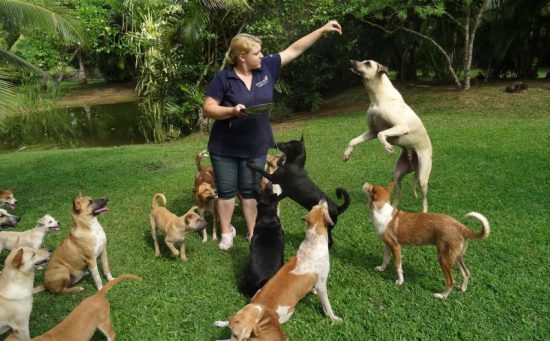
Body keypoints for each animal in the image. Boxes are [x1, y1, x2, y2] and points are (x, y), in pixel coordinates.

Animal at [344, 59, 436, 211]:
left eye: (368, 63)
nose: (351, 61)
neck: (377, 98)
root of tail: (413, 162)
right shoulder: (372, 131)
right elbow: (353, 140)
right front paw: (347, 153)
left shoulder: (400, 127)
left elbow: (382, 134)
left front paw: (387, 147)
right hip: (397, 173)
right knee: (398, 192)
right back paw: (393, 207)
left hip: (423, 176)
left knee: (424, 199)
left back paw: (424, 210)